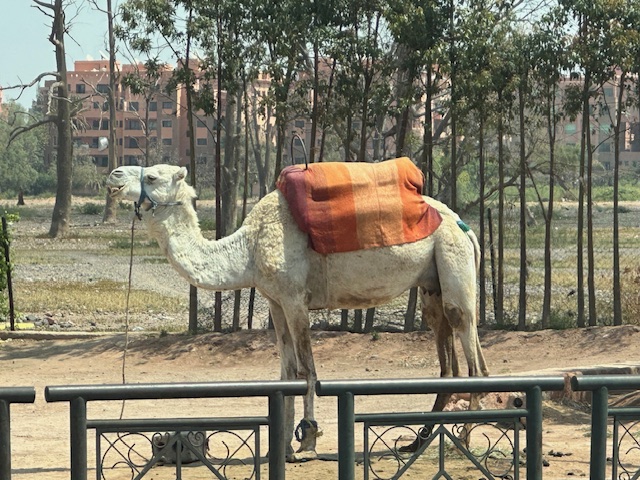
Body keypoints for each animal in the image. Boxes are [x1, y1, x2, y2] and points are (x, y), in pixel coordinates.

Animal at [106, 162, 489, 461]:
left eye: (152, 176)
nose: (114, 174)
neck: (249, 249)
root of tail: (465, 227)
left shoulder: (294, 298)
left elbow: (308, 370)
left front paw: (308, 441)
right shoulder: (275, 301)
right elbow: (286, 371)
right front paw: (284, 447)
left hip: (452, 258)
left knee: (471, 353)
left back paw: (465, 438)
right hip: (430, 282)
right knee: (449, 357)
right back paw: (419, 442)